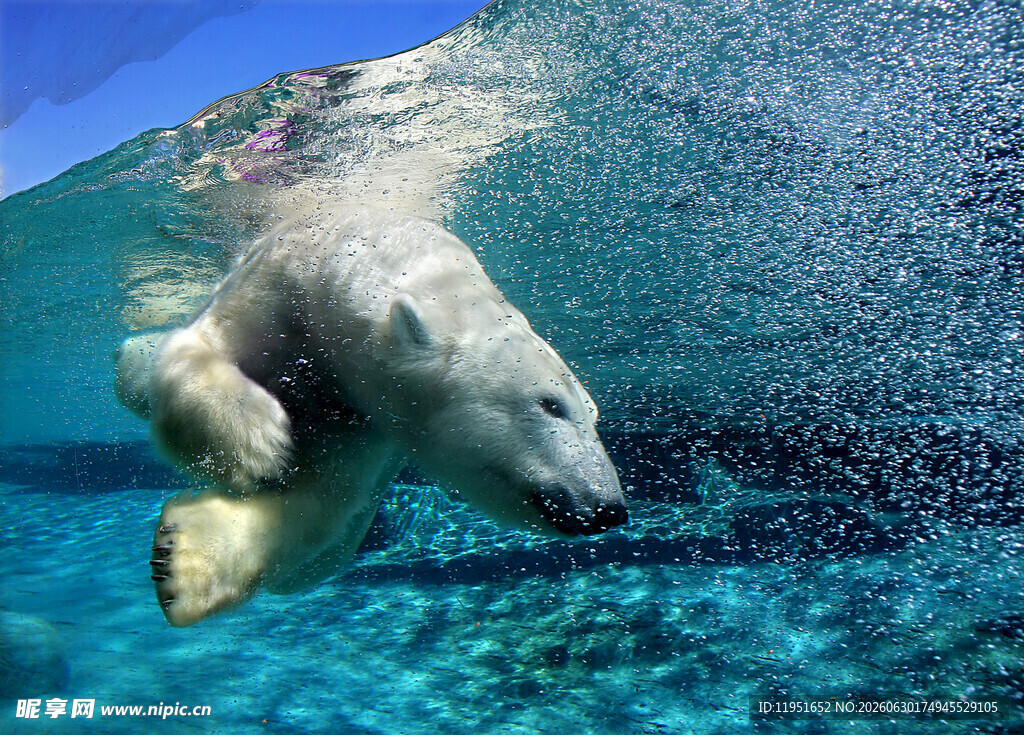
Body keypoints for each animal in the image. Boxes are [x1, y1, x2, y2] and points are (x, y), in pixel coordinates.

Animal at [115, 204, 626, 626]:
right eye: (550, 404)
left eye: (594, 416)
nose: (608, 508)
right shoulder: (275, 288)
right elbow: (199, 349)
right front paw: (257, 442)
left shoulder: (368, 420)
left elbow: (323, 499)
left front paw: (182, 560)